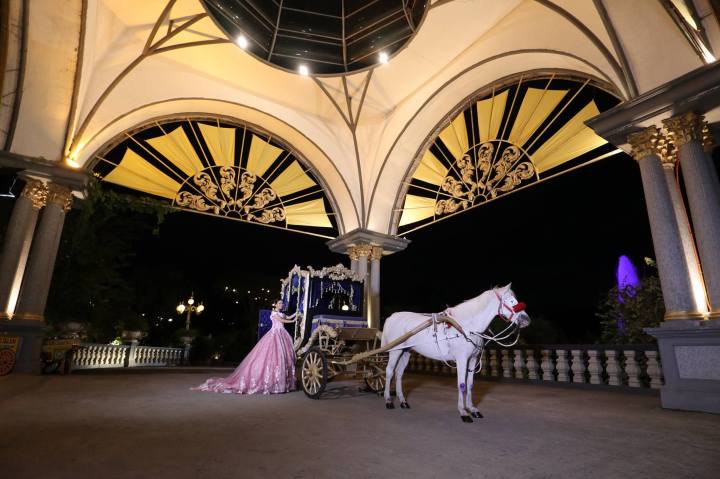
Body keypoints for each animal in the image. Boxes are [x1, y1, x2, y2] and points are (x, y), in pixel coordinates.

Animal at [381, 284, 530, 422]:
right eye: (511, 301)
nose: (526, 320)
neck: (466, 327)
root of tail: (392, 316)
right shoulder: (462, 359)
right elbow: (462, 385)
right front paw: (463, 412)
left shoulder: (473, 359)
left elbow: (470, 385)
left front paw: (472, 409)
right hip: (395, 351)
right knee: (389, 372)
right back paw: (388, 400)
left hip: (406, 352)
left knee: (399, 374)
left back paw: (403, 401)